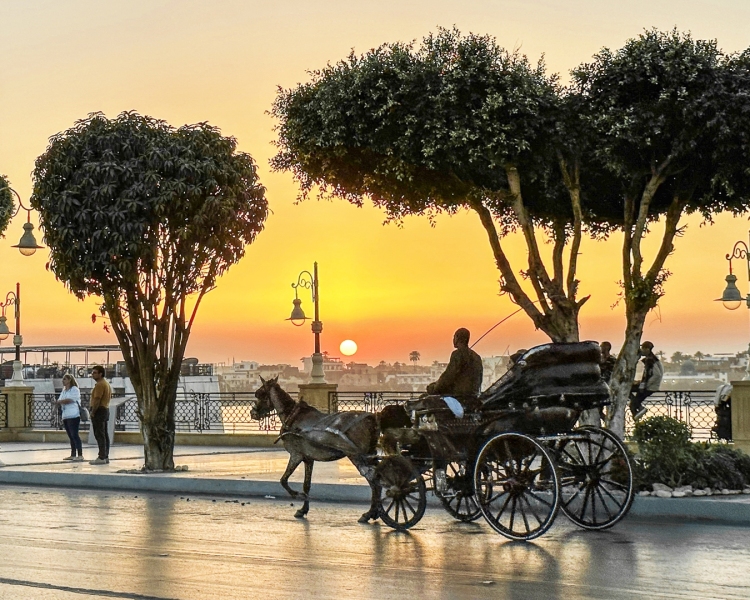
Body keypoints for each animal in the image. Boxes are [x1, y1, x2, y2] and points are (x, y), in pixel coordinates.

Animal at [254, 378, 388, 524]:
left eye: (259, 393)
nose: (252, 413)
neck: (293, 416)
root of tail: (372, 418)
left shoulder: (296, 454)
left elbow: (283, 480)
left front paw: (297, 495)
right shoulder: (308, 458)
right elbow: (306, 485)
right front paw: (303, 509)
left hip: (356, 456)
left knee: (373, 481)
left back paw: (370, 513)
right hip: (368, 454)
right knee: (377, 481)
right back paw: (375, 512)